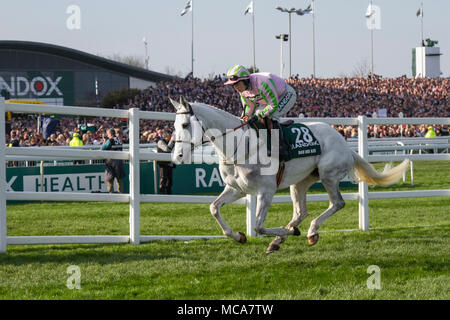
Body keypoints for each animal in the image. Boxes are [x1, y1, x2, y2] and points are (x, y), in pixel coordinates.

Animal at [171, 97, 410, 252]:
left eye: (185, 124)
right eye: (174, 125)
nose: (177, 156)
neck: (240, 146)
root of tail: (344, 143)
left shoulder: (266, 191)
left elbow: (258, 225)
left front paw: (289, 233)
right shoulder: (237, 189)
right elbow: (214, 208)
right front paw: (238, 236)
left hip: (328, 175)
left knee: (337, 203)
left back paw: (310, 232)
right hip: (301, 182)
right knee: (300, 212)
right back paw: (279, 240)